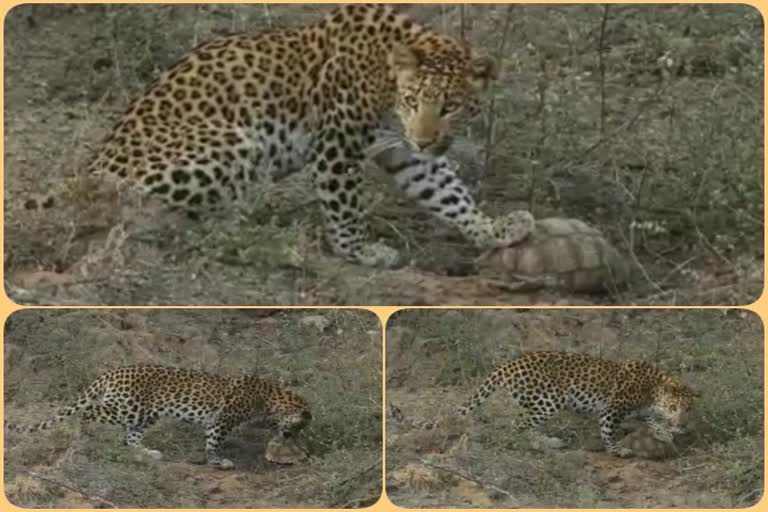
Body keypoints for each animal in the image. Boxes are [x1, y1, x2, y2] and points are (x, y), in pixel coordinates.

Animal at [5, 364, 312, 468]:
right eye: (300, 427)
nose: (292, 435)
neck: (272, 397)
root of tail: (111, 372)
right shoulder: (222, 421)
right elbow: (213, 443)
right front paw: (218, 461)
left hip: (145, 415)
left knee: (130, 438)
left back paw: (147, 453)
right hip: (126, 408)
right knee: (87, 411)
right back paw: (80, 434)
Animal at [24, 4, 528, 268]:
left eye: (450, 107)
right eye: (411, 100)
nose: (425, 139)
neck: (385, 75)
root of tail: (88, 170)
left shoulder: (403, 152)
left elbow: (448, 192)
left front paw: (493, 229)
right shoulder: (338, 144)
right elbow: (345, 205)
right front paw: (360, 250)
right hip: (231, 140)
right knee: (142, 213)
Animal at [456, 352, 696, 456]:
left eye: (688, 410)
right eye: (673, 408)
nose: (683, 425)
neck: (652, 389)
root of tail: (507, 364)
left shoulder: (643, 410)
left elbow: (653, 421)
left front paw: (664, 433)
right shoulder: (612, 409)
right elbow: (608, 431)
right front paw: (617, 449)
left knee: (527, 425)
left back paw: (549, 441)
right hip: (550, 400)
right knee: (518, 425)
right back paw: (537, 445)